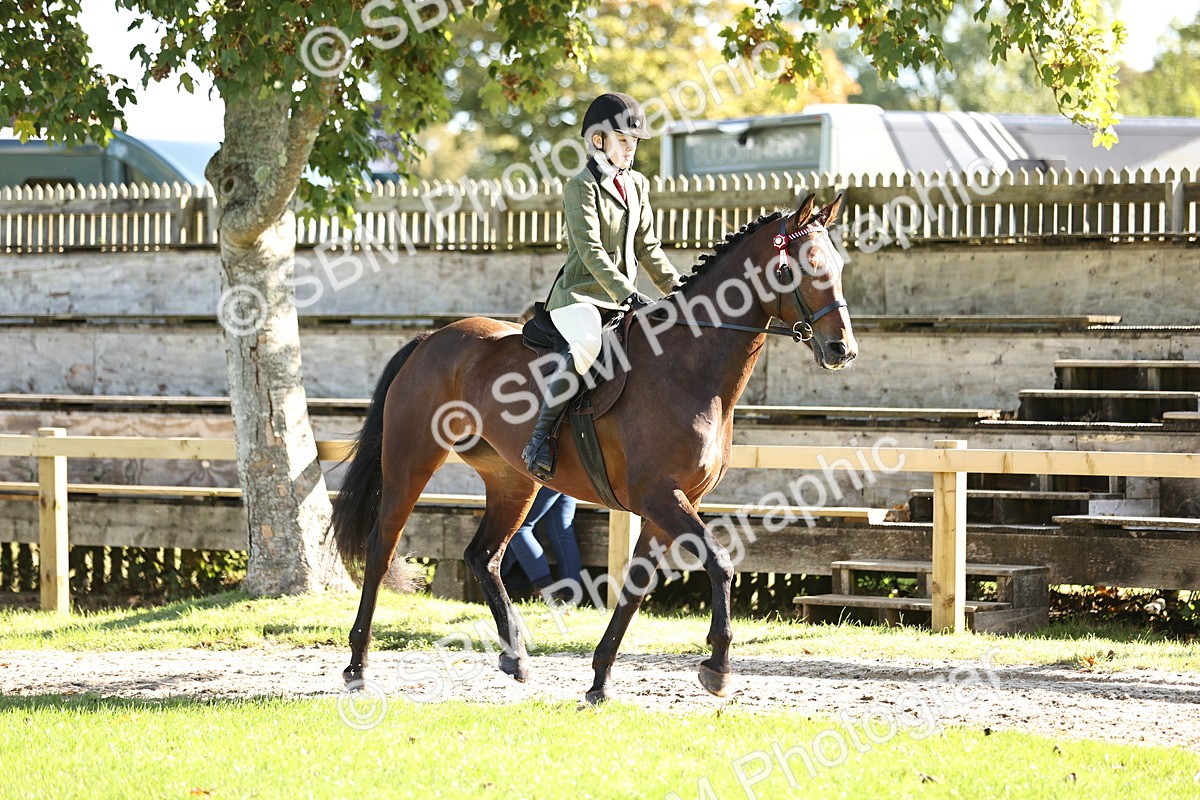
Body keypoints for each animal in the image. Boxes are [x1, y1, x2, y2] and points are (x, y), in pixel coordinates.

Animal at [332, 191, 858, 703]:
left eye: (836, 264)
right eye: (805, 265)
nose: (842, 351)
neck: (688, 367)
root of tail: (429, 338)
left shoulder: (670, 503)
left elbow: (636, 586)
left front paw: (601, 679)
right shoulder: (659, 496)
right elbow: (719, 562)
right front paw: (718, 667)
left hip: (513, 481)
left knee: (484, 555)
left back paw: (515, 656)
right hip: (410, 461)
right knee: (382, 549)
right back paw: (358, 666)